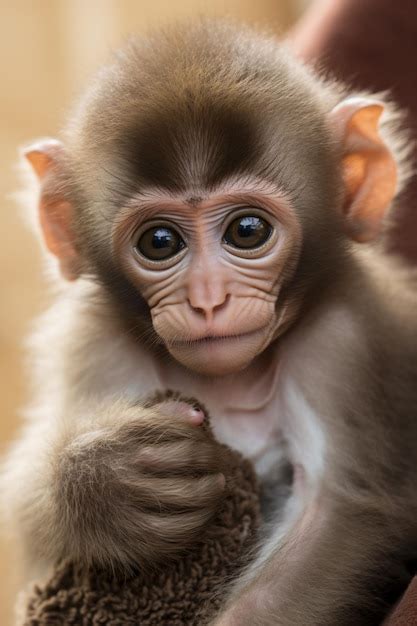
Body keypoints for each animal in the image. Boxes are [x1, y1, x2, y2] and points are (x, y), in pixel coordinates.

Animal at [2, 17, 416, 620]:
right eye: (159, 241)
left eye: (248, 231)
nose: (207, 299)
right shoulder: (93, 340)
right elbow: (26, 523)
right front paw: (102, 478)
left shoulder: (343, 343)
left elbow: (340, 512)